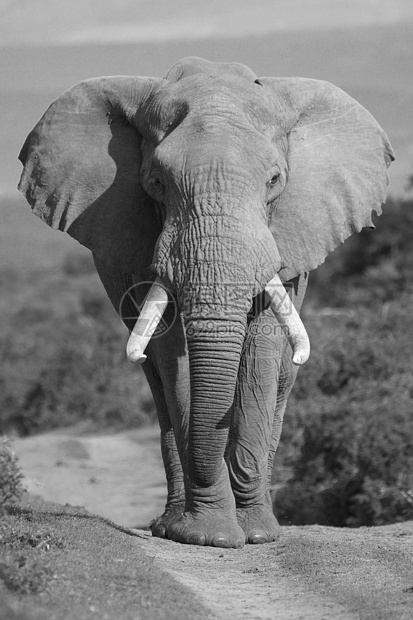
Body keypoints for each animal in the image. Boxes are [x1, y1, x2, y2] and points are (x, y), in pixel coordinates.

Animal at [18, 57, 392, 548]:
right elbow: (171, 353)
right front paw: (206, 535)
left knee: (281, 381)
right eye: (156, 183)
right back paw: (169, 526)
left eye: (275, 181)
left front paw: (253, 534)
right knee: (158, 383)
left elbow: (261, 350)